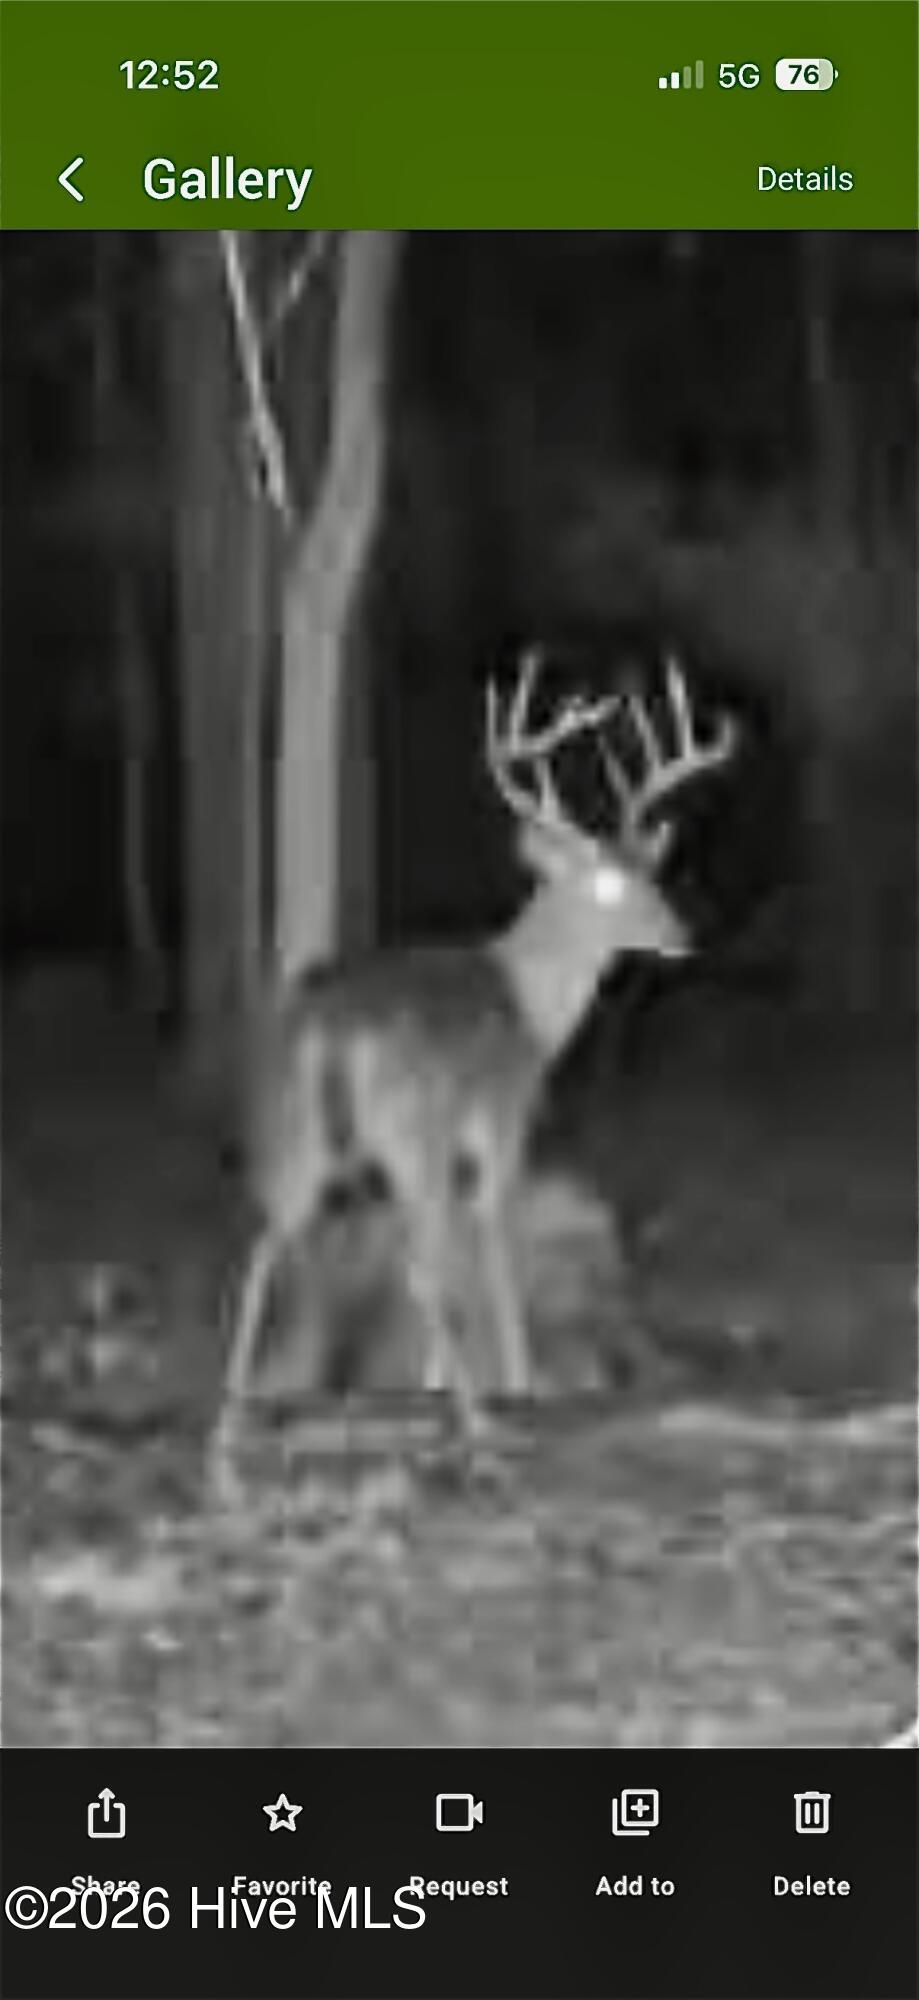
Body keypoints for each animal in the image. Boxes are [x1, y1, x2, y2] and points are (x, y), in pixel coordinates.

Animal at [208, 651, 737, 1498]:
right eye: (607, 884)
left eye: (650, 871)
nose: (681, 937)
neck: (531, 1008)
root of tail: (333, 1031)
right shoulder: (502, 1113)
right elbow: (487, 1232)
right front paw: (512, 1381)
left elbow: (460, 1247)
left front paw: (433, 1383)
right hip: (408, 1128)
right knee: (414, 1262)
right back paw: (480, 1435)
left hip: (296, 1128)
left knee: (262, 1251)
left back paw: (225, 1448)